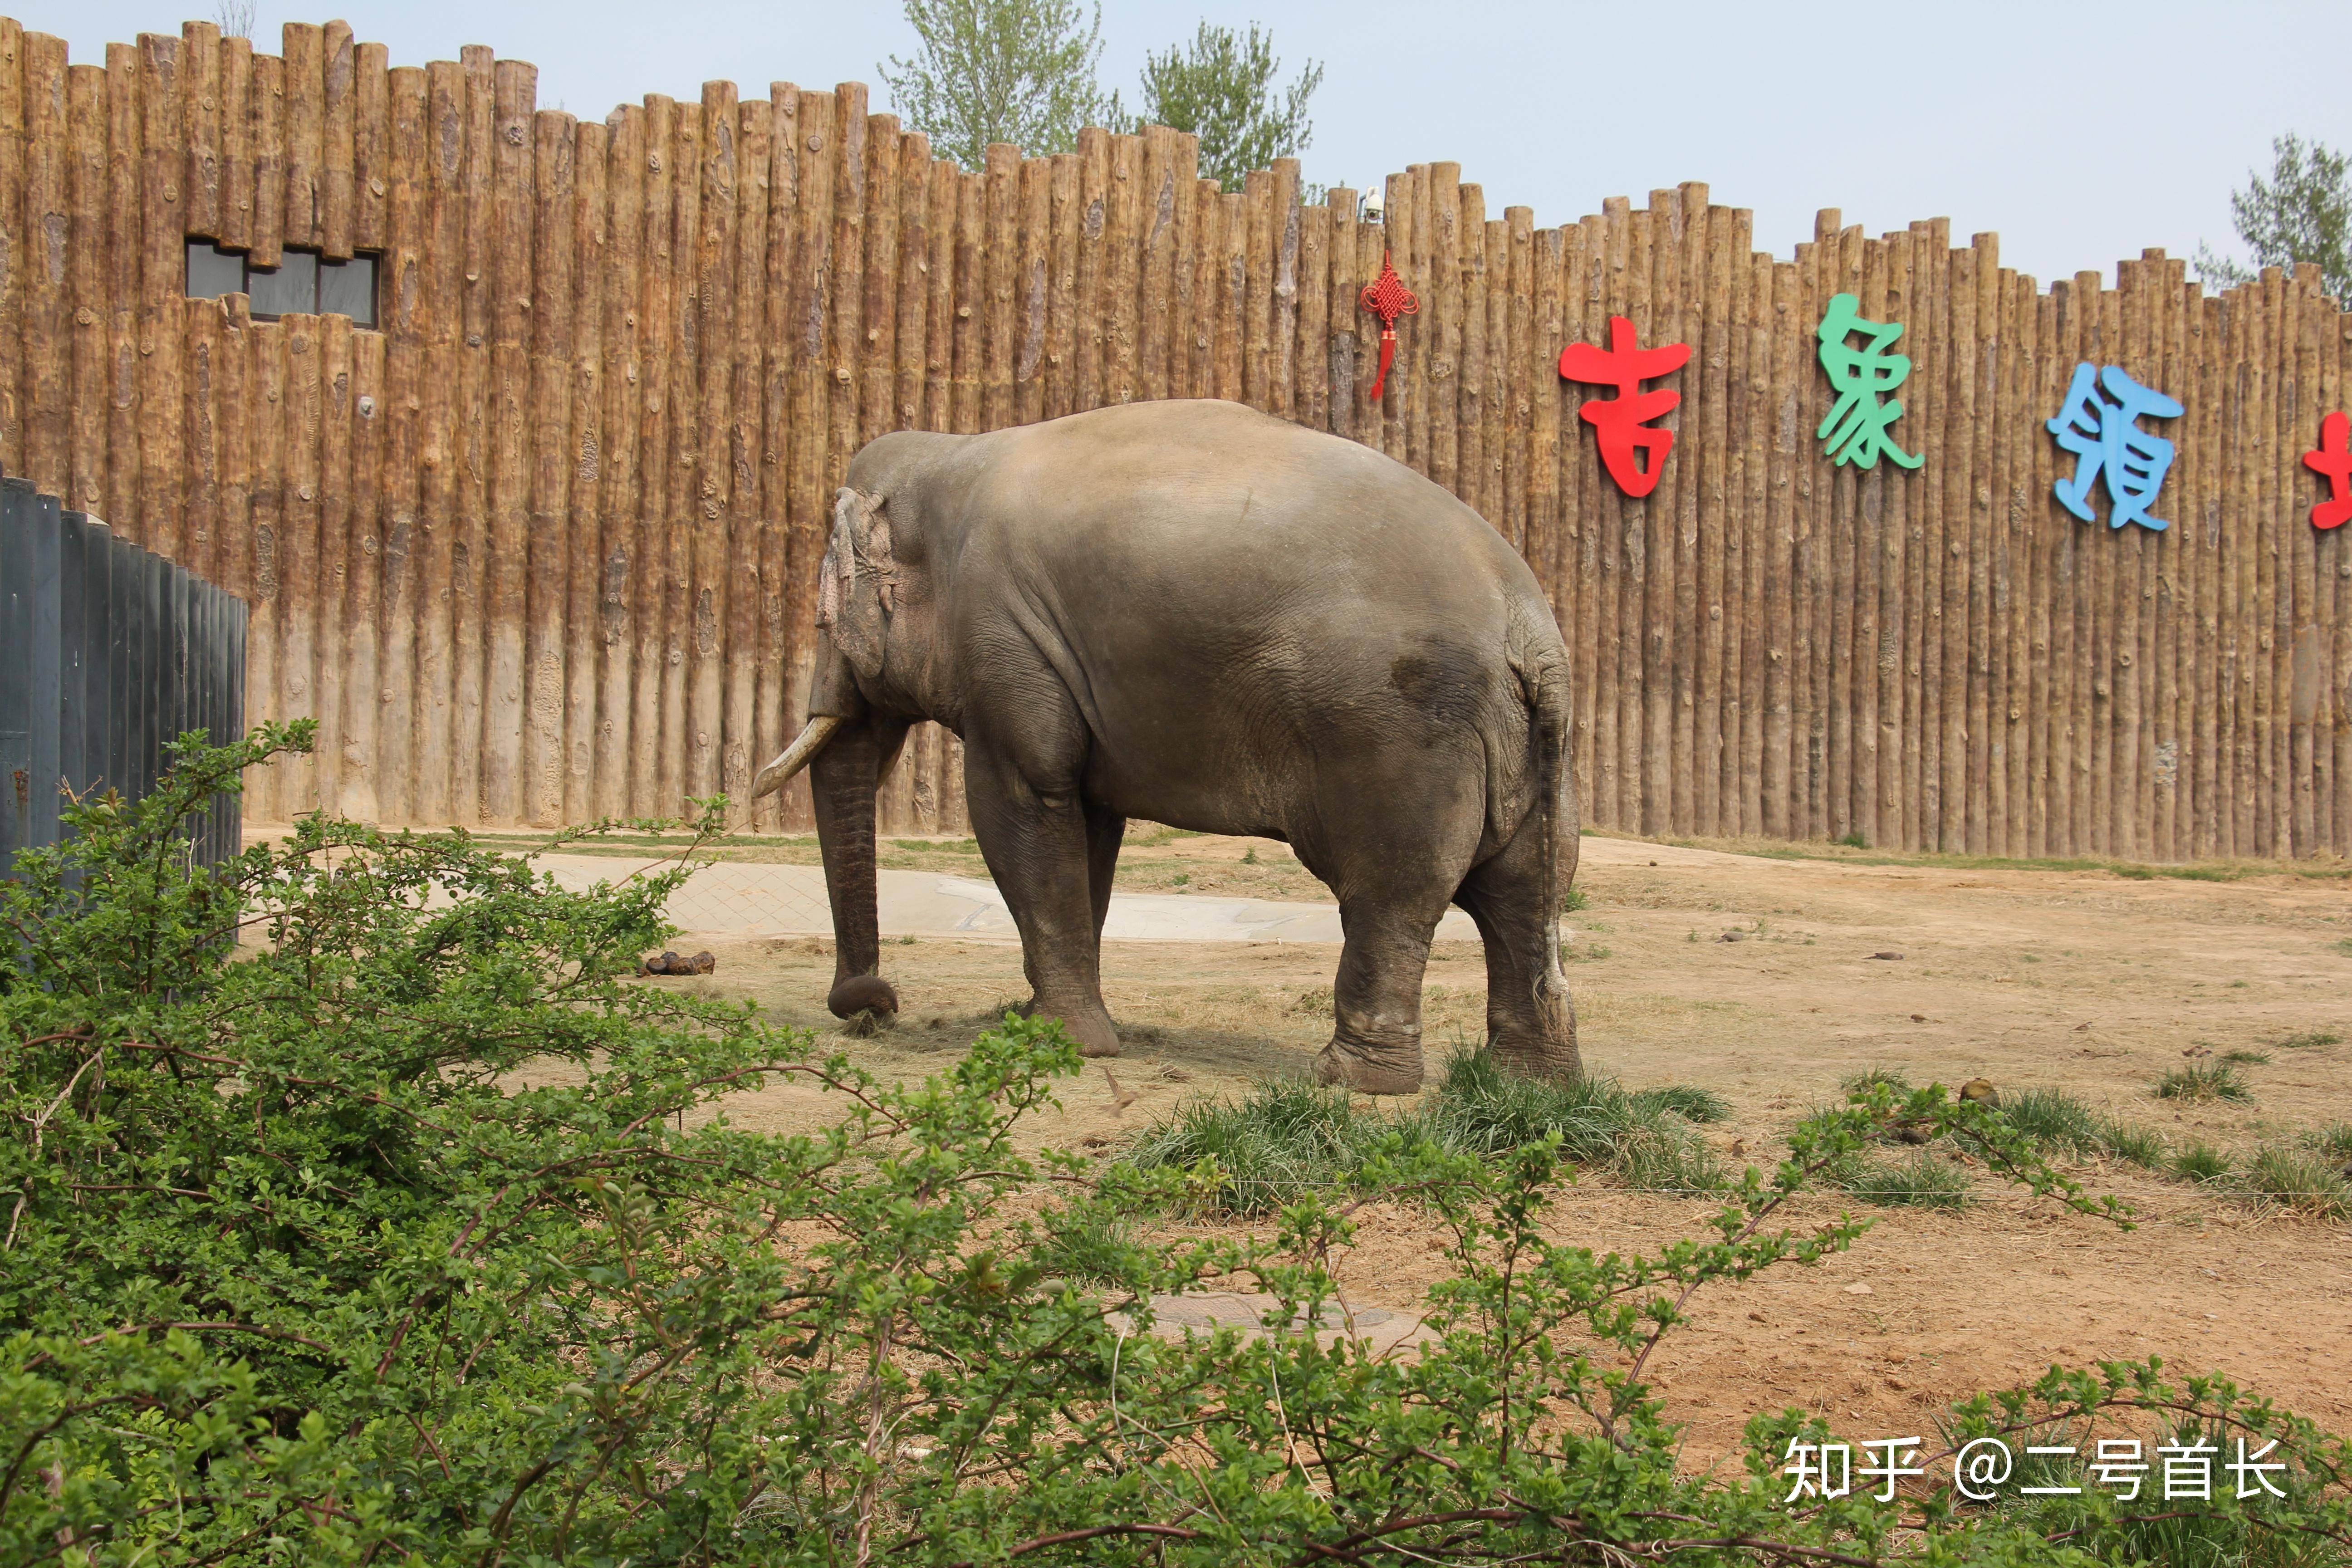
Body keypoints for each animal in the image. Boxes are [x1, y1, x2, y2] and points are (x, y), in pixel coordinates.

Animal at [752, 399, 1580, 1100]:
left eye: (824, 618)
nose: (873, 1005)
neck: (945, 457)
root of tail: (1524, 621)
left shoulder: (1005, 641)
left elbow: (1023, 803)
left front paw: (1059, 1043)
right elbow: (1088, 824)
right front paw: (1045, 1025)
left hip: (1400, 739)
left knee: (1392, 894)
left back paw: (1353, 1081)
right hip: (1530, 749)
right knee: (1519, 894)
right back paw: (1527, 1084)